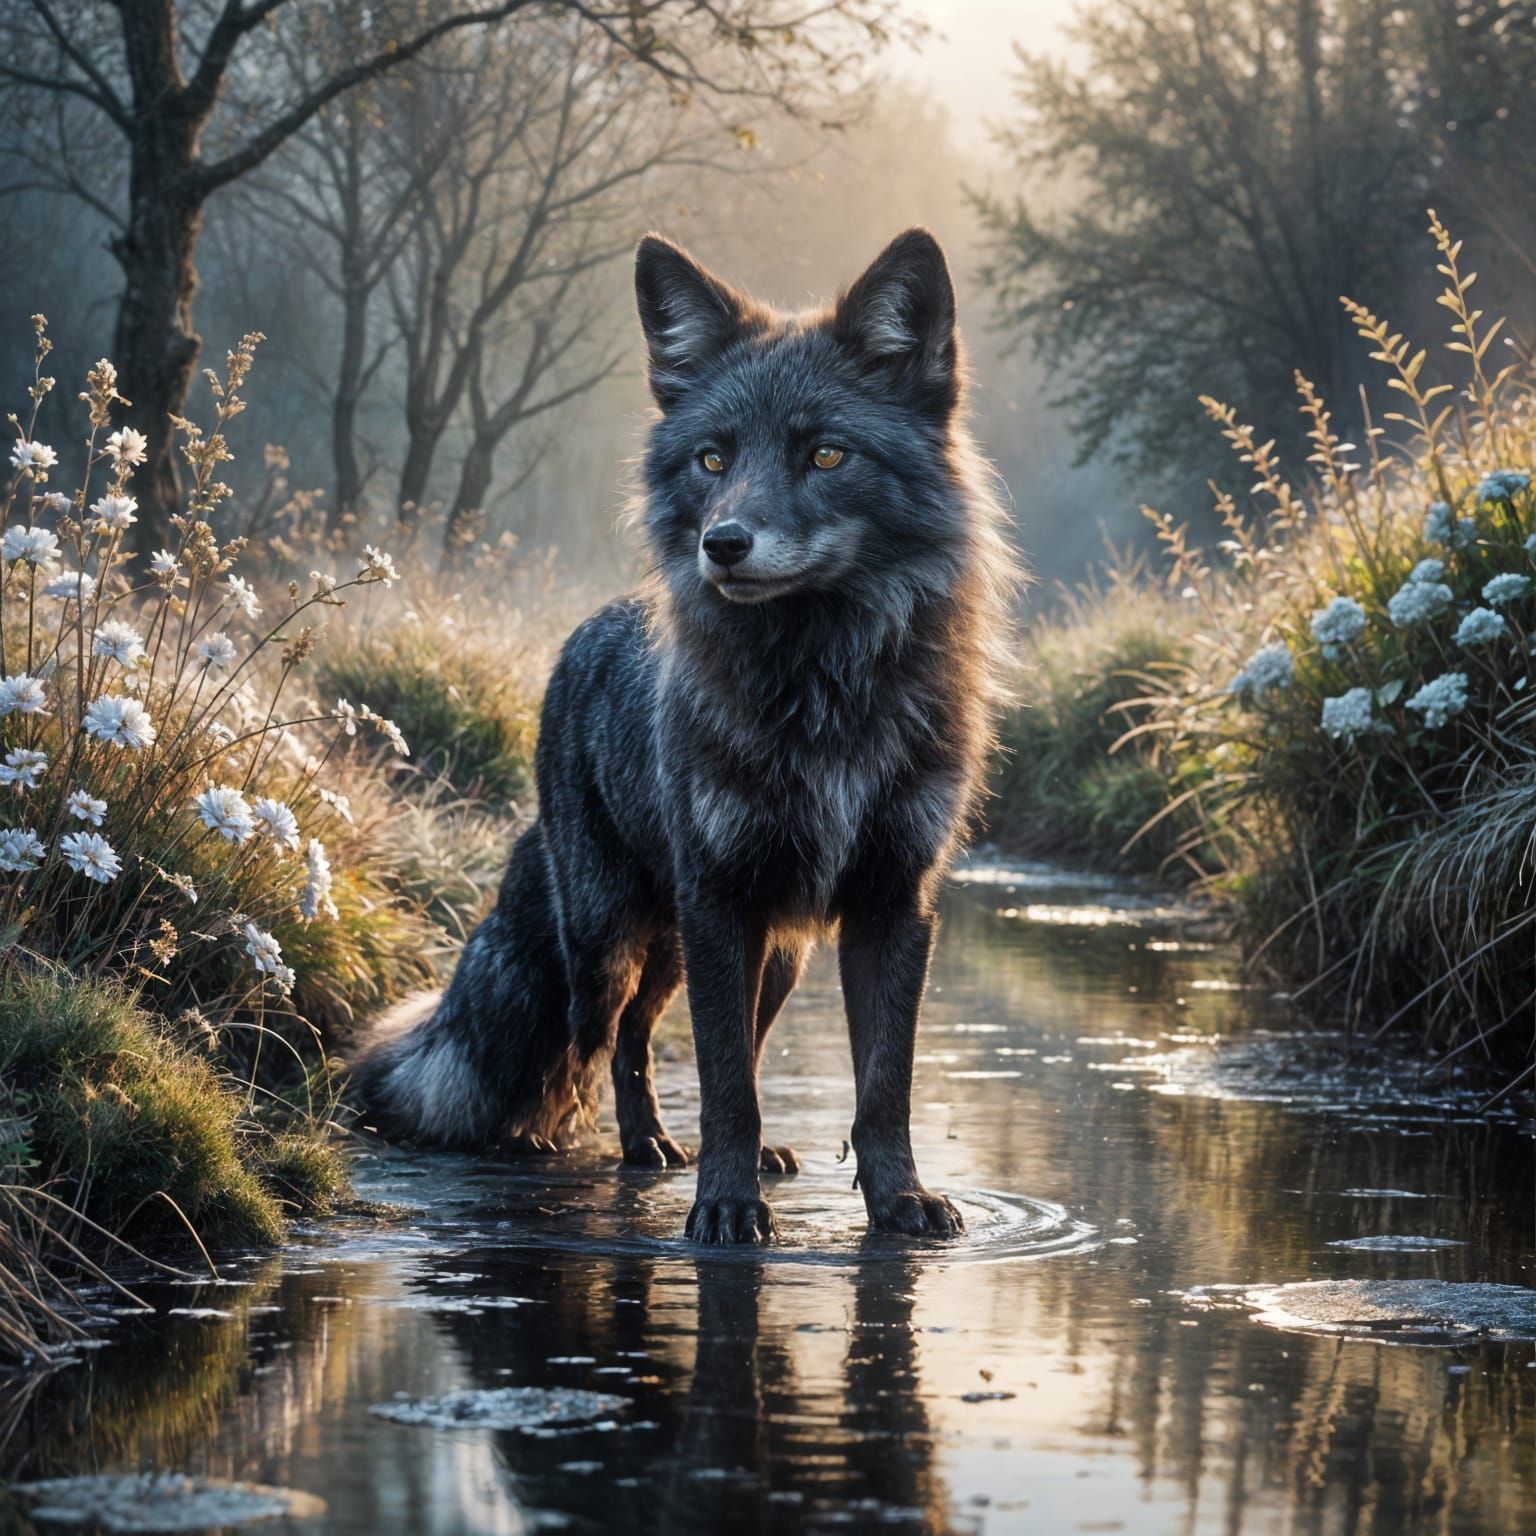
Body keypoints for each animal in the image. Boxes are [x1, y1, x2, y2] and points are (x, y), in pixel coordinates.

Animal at [351, 228, 1019, 1244]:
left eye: (826, 455)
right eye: (711, 460)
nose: (723, 544)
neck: (821, 700)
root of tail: (588, 632)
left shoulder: (892, 901)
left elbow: (881, 1087)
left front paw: (898, 1198)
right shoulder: (721, 900)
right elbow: (727, 1083)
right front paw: (727, 1206)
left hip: (768, 956)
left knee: (669, 1037)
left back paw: (683, 1146)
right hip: (613, 946)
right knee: (610, 1038)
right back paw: (614, 1144)